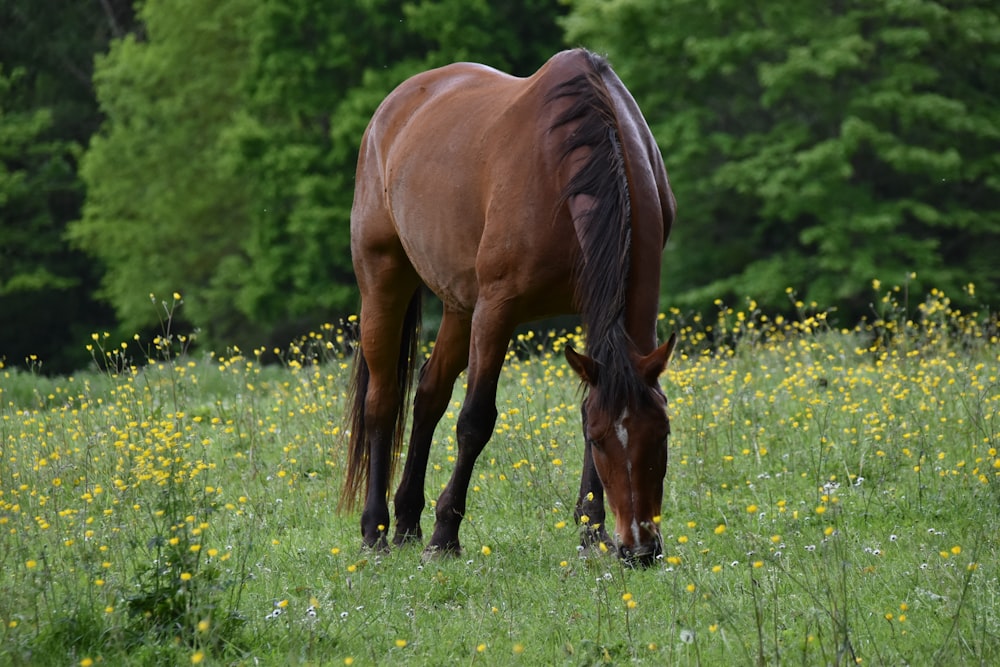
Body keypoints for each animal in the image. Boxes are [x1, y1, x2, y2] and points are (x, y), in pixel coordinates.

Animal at [340, 49, 676, 568]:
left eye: (661, 435)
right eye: (604, 441)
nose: (639, 548)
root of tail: (392, 108)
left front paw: (591, 530)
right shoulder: (497, 309)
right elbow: (475, 420)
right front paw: (445, 536)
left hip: (460, 305)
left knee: (429, 394)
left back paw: (407, 522)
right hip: (384, 279)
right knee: (383, 401)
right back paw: (375, 531)